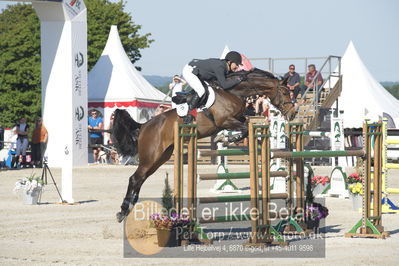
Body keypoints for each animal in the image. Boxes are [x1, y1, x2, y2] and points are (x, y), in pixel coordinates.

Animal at [112, 68, 296, 222]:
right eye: (285, 92)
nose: (293, 114)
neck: (233, 92)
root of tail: (144, 125)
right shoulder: (224, 120)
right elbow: (243, 128)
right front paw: (228, 138)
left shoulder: (236, 118)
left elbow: (245, 122)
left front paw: (227, 138)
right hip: (151, 155)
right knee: (135, 178)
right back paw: (123, 211)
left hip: (160, 157)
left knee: (140, 178)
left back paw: (130, 207)